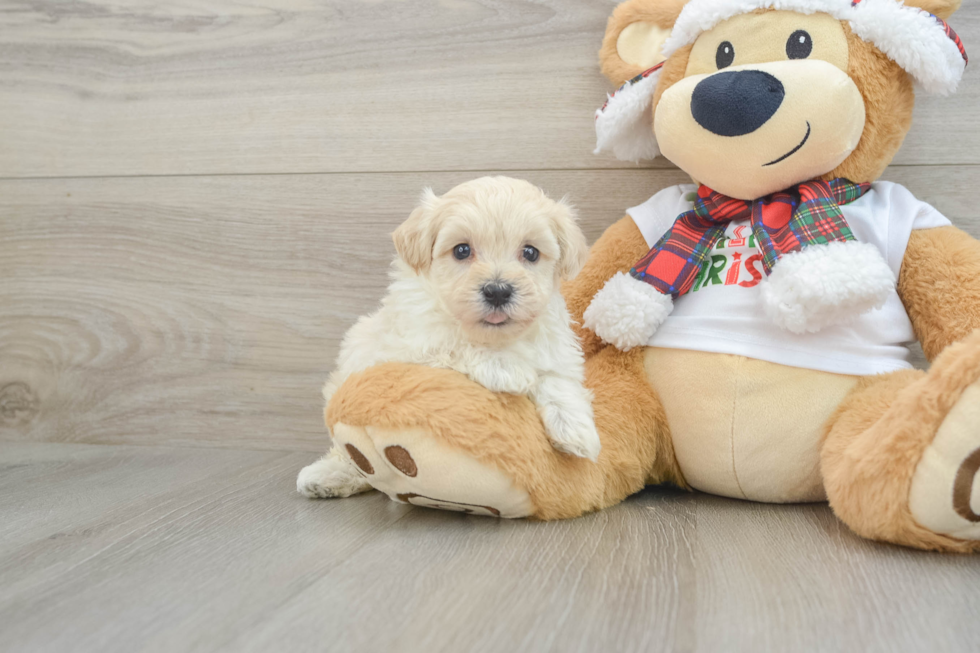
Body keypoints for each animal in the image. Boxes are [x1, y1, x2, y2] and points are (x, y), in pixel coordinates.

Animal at [298, 176, 600, 496]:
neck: (497, 339)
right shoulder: (406, 346)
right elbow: (451, 342)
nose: (498, 291)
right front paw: (503, 366)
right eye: (461, 250)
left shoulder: (555, 346)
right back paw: (328, 475)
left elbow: (558, 378)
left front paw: (575, 429)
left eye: (530, 252)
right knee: (350, 454)